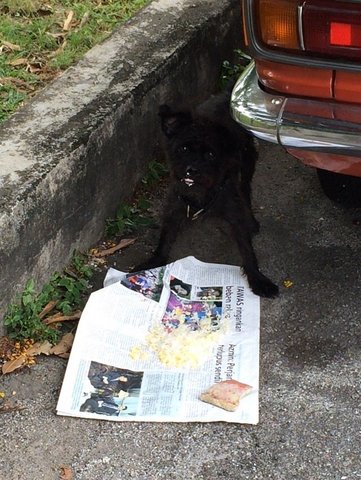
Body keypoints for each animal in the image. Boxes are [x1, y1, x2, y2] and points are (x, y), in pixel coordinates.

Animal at [134, 92, 278, 298]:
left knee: (245, 188)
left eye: (210, 154)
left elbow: (246, 248)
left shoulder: (233, 210)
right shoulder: (175, 205)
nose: (191, 170)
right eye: (184, 149)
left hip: (247, 160)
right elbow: (165, 237)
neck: (200, 191)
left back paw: (251, 219)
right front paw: (155, 261)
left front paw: (257, 278)